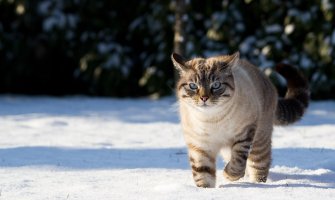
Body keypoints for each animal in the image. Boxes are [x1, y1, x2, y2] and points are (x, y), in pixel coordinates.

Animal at [172, 52, 312, 188]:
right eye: (193, 86)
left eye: (216, 85)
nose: (204, 98)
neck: (212, 120)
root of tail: (264, 77)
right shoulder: (200, 146)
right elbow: (203, 174)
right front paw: (205, 191)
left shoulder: (244, 134)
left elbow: (238, 163)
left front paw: (228, 175)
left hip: (259, 143)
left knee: (260, 165)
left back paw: (257, 184)